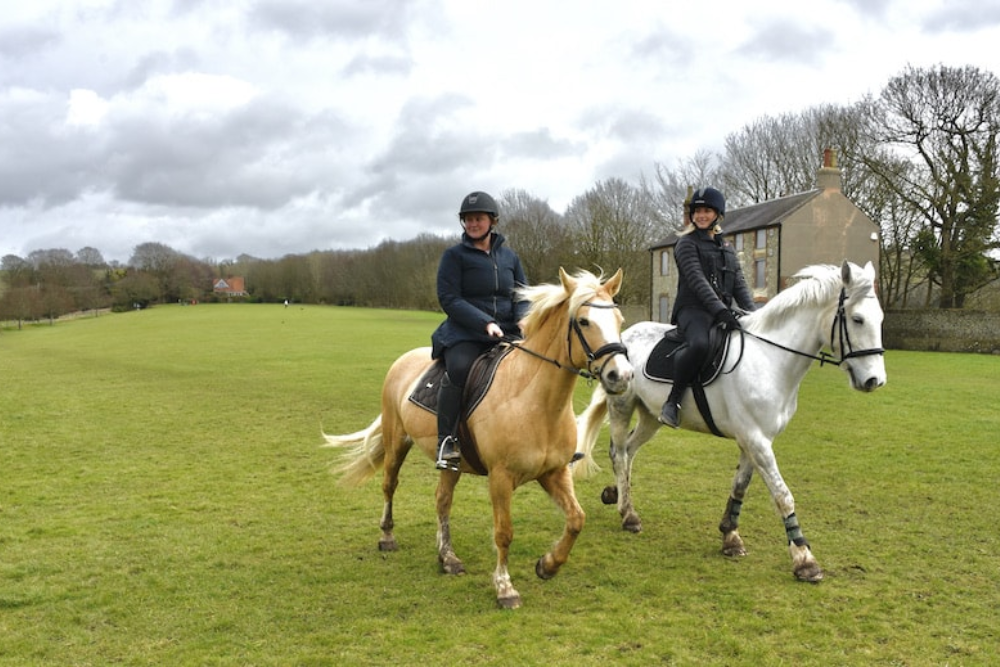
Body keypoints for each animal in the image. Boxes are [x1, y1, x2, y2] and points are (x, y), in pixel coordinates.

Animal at [324, 268, 634, 608]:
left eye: (619, 319)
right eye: (584, 321)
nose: (622, 376)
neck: (534, 401)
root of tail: (403, 361)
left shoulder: (554, 472)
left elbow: (577, 519)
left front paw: (548, 565)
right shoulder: (500, 478)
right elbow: (504, 532)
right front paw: (505, 588)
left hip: (451, 464)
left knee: (442, 500)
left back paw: (447, 558)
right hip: (397, 443)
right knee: (389, 485)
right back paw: (387, 537)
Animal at [575, 261, 886, 582]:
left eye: (880, 319)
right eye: (858, 319)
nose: (874, 380)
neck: (770, 359)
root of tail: (622, 338)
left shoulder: (755, 440)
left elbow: (740, 486)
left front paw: (730, 536)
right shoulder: (756, 439)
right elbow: (782, 495)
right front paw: (804, 559)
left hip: (651, 416)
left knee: (629, 451)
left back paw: (616, 494)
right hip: (622, 405)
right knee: (619, 453)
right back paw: (628, 514)